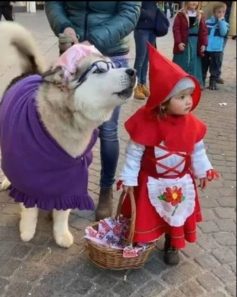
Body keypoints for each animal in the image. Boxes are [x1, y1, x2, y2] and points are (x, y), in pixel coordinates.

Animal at [0, 21, 136, 247]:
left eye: (114, 66)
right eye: (100, 70)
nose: (132, 71)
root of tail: (29, 73)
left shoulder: (71, 173)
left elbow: (62, 210)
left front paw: (61, 234)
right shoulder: (27, 170)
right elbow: (29, 206)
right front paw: (27, 230)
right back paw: (6, 181)